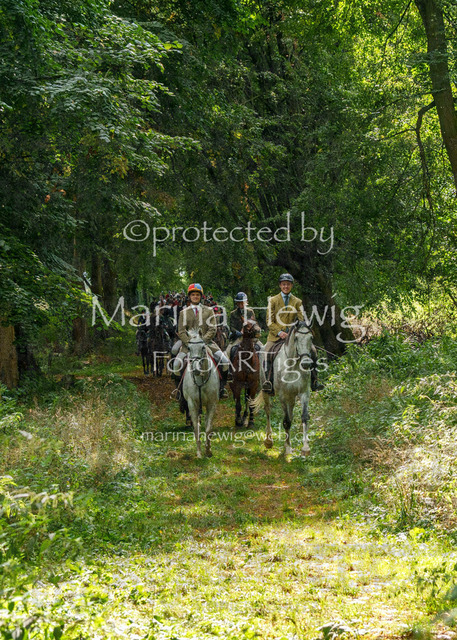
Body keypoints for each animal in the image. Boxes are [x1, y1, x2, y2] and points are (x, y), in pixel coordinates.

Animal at [182, 330, 220, 458]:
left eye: (203, 347)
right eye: (189, 348)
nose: (196, 370)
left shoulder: (212, 403)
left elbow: (208, 428)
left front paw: (208, 450)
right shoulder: (192, 403)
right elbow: (196, 428)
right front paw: (199, 453)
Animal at [251, 321, 314, 458]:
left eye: (311, 338)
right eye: (296, 338)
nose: (306, 363)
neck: (293, 366)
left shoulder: (304, 393)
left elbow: (304, 417)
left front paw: (305, 448)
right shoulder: (283, 396)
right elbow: (286, 421)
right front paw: (288, 449)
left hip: (292, 396)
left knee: (290, 413)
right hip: (265, 389)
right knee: (268, 410)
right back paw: (269, 441)